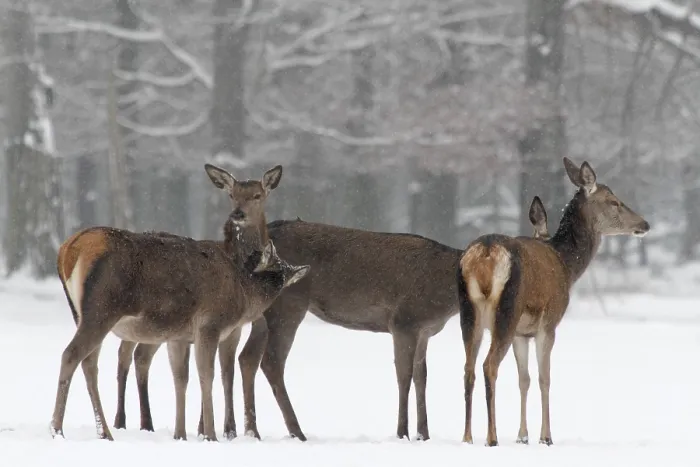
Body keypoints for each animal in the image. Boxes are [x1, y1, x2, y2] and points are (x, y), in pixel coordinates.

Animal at [49, 206, 309, 441]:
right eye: (275, 272)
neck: (242, 293)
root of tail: (69, 250)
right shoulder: (209, 325)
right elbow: (206, 375)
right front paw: (210, 435)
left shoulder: (179, 336)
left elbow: (180, 379)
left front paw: (180, 434)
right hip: (102, 309)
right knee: (70, 354)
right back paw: (57, 429)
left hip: (83, 315)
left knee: (89, 362)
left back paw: (104, 432)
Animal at [113, 163, 283, 440]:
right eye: (232, 195)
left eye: (257, 195)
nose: (238, 214)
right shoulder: (221, 327)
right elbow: (222, 373)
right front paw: (222, 429)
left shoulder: (232, 329)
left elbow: (225, 372)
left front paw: (217, 429)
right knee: (126, 354)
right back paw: (122, 420)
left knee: (138, 355)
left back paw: (143, 423)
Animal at [456, 157, 650, 447]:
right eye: (614, 201)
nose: (645, 224)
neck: (567, 267)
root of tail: (485, 254)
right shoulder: (548, 324)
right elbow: (544, 378)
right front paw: (545, 436)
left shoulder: (522, 333)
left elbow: (524, 379)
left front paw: (522, 436)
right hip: (506, 312)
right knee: (488, 365)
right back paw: (492, 438)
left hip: (469, 313)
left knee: (468, 368)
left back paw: (467, 437)